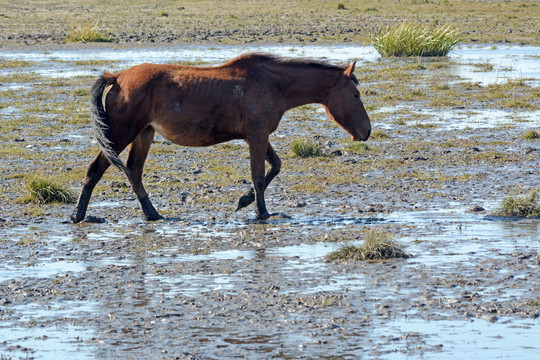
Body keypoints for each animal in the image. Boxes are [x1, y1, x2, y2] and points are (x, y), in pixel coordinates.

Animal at [69, 52, 370, 222]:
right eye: (355, 95)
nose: (367, 131)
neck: (274, 83)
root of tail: (118, 76)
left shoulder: (258, 136)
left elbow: (275, 167)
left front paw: (244, 201)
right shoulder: (257, 136)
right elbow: (258, 176)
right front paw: (260, 213)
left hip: (144, 134)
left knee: (133, 172)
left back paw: (152, 214)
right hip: (122, 132)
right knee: (95, 169)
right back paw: (78, 216)